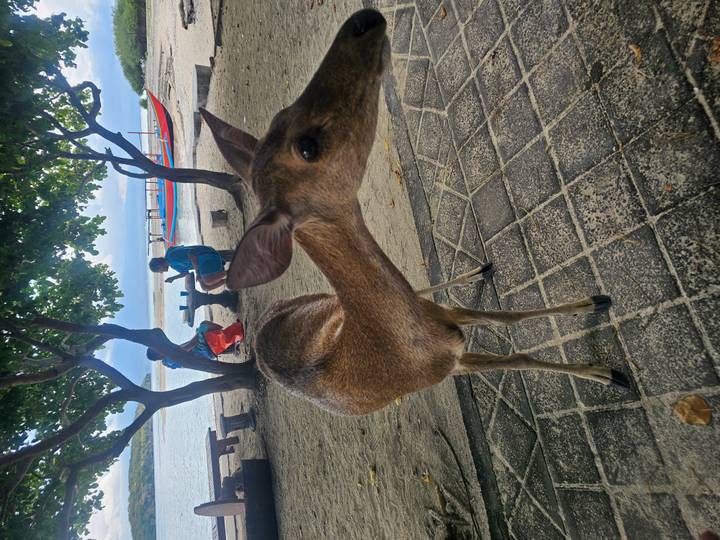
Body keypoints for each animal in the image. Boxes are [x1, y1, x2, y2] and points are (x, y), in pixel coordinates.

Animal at [199, 9, 629, 416]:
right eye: (308, 147)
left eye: (281, 114)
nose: (362, 22)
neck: (410, 345)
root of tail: (258, 334)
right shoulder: (450, 365)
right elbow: (516, 355)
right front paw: (607, 373)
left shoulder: (446, 324)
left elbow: (504, 320)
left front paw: (595, 304)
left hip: (329, 298)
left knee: (422, 288)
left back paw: (482, 269)